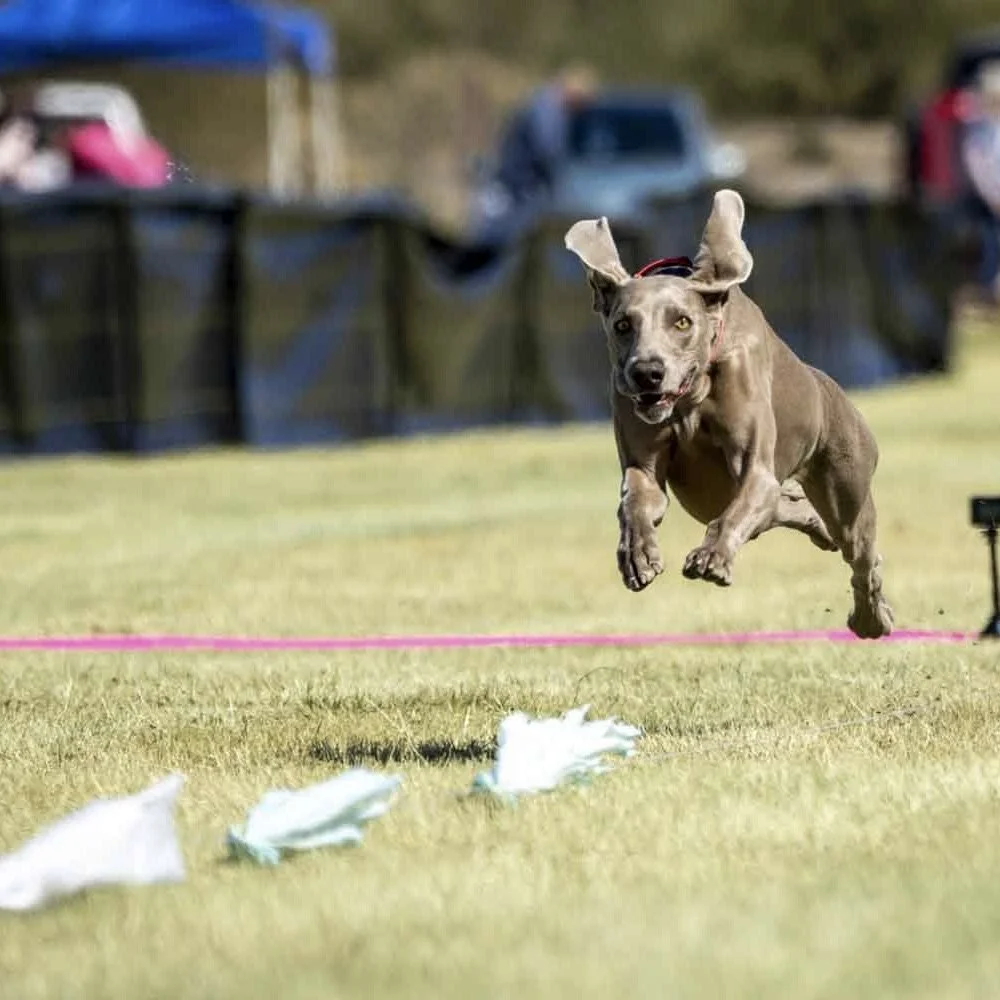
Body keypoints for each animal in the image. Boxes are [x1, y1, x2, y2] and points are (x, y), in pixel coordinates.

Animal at [564, 189, 893, 639]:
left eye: (682, 322)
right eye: (622, 325)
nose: (647, 372)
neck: (689, 399)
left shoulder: (755, 467)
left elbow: (737, 508)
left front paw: (712, 557)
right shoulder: (643, 465)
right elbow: (636, 499)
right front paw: (638, 554)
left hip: (847, 482)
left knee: (860, 554)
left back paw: (870, 617)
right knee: (791, 508)